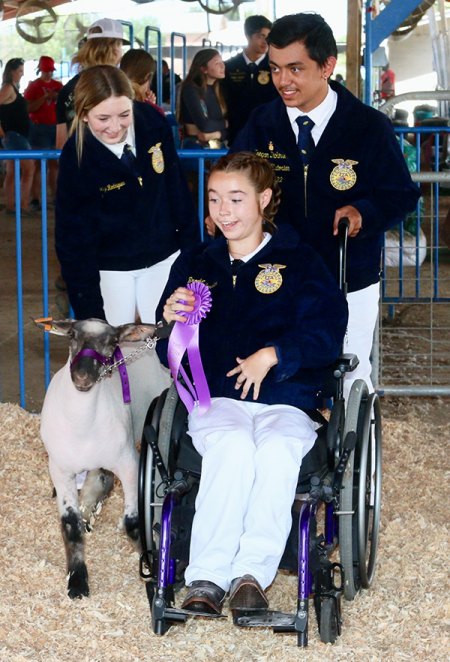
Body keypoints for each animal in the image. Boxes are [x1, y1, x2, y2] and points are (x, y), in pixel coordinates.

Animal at [35, 320, 171, 600]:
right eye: (72, 335)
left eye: (112, 342)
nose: (82, 376)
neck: (81, 424)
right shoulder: (60, 470)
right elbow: (70, 525)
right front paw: (77, 582)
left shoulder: (129, 464)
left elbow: (133, 520)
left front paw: (149, 563)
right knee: (99, 478)